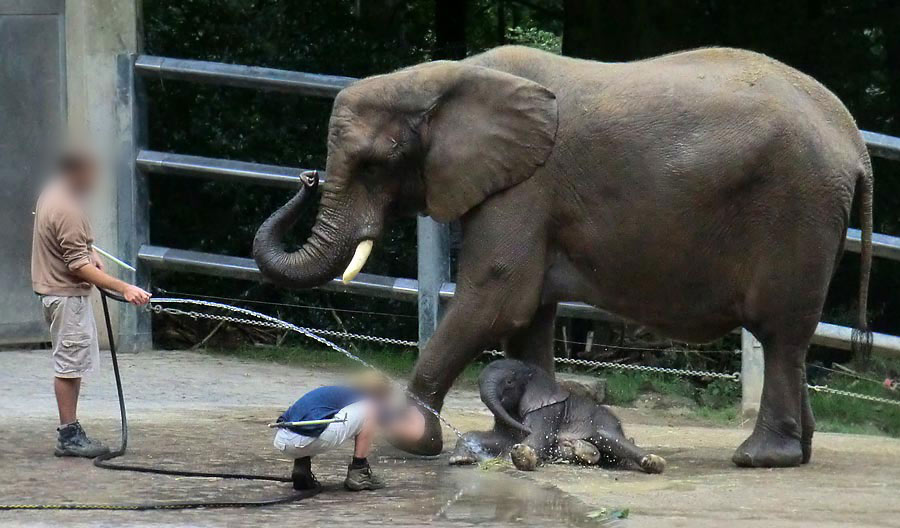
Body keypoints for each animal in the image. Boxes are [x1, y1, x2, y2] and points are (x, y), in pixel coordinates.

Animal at [454, 358, 664, 474]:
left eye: (509, 382)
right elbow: (498, 438)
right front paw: (459, 460)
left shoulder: (549, 410)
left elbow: (539, 435)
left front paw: (513, 457)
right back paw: (583, 450)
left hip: (605, 425)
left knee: (608, 437)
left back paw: (654, 462)